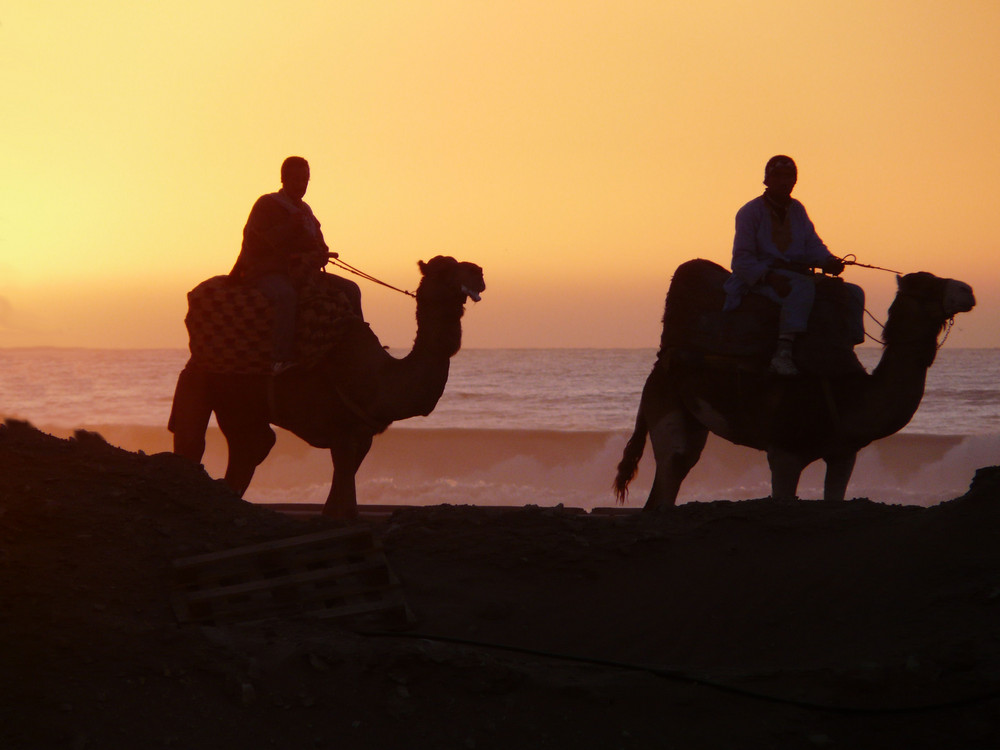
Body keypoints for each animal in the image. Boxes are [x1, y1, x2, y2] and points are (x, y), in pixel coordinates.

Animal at [168, 256, 484, 520]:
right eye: (444, 269)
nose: (478, 271)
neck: (378, 379)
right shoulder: (341, 431)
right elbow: (344, 509)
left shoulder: (361, 436)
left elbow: (337, 504)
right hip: (225, 395)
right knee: (211, 442)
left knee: (250, 449)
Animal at [612, 260, 972, 512]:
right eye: (926, 285)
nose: (967, 290)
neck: (849, 396)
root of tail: (660, 362)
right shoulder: (783, 451)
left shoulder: (844, 454)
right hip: (665, 402)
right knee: (671, 467)